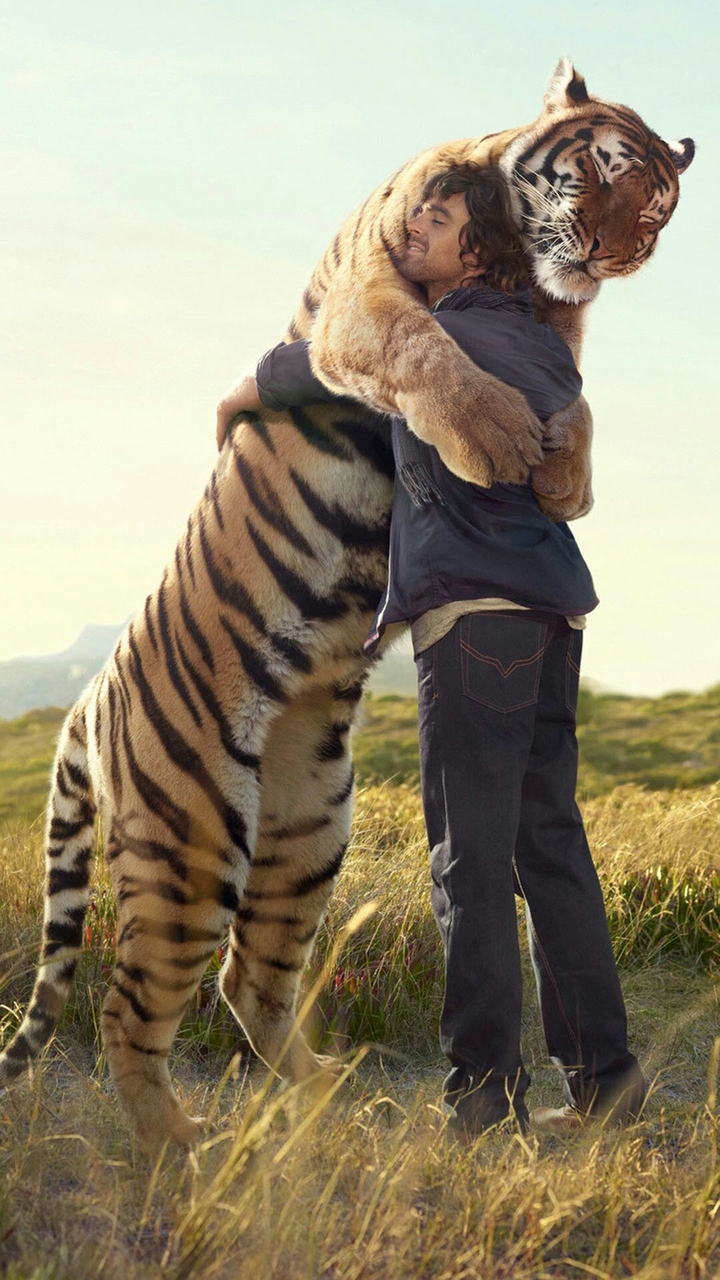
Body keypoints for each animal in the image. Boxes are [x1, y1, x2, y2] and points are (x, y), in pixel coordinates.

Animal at [0, 58, 693, 1157]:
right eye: (602, 172)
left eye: (659, 210)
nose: (614, 252)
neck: (517, 268)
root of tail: (89, 695)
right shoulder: (366, 298)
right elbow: (424, 346)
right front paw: (500, 438)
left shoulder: (561, 334)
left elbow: (576, 397)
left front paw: (564, 477)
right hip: (194, 839)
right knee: (128, 1005)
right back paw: (181, 1146)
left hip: (306, 828)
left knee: (247, 978)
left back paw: (331, 1098)